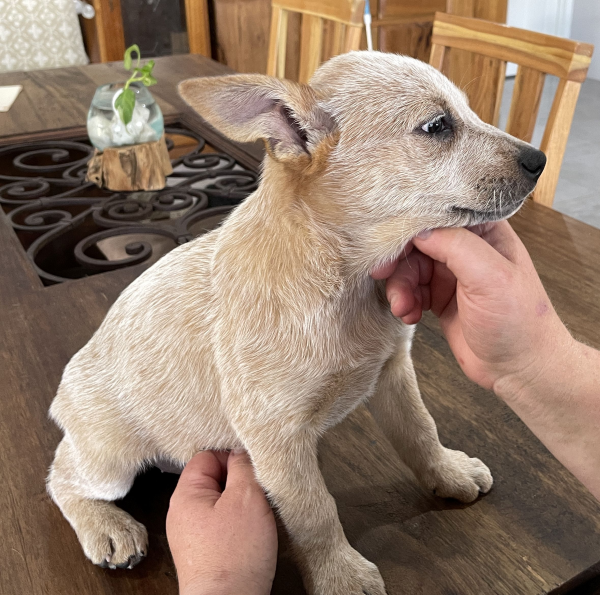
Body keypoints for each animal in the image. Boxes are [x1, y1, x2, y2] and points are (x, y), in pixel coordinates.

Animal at [48, 52, 544, 595]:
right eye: (437, 126)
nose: (539, 160)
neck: (346, 283)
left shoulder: (392, 371)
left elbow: (420, 431)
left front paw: (448, 473)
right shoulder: (275, 432)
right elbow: (314, 510)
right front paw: (339, 573)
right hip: (111, 459)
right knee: (60, 475)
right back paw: (107, 527)